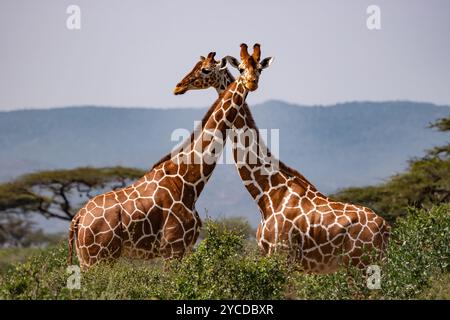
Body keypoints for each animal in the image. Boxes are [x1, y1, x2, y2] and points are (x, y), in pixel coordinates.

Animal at [69, 43, 274, 268]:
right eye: (242, 69)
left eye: (259, 69)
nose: (178, 87)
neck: (188, 180)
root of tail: (77, 220)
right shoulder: (172, 247)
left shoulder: (186, 247)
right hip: (97, 258)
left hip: (87, 259)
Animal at [173, 52, 390, 272]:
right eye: (241, 69)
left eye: (205, 70)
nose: (179, 86)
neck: (268, 194)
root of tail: (385, 228)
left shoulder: (282, 255)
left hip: (360, 264)